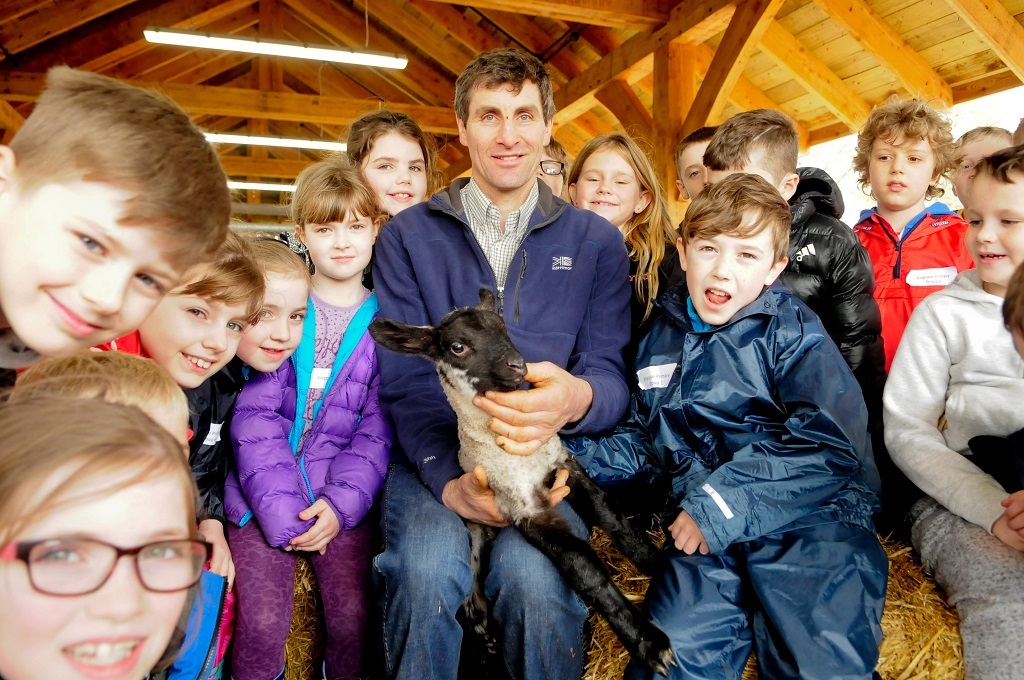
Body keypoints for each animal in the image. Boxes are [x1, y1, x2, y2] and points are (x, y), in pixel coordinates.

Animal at [372, 288, 675, 675]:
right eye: (458, 346)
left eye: (503, 327)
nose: (518, 365)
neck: (520, 459)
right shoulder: (523, 507)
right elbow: (584, 566)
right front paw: (649, 643)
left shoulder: (563, 465)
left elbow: (613, 518)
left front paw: (656, 561)